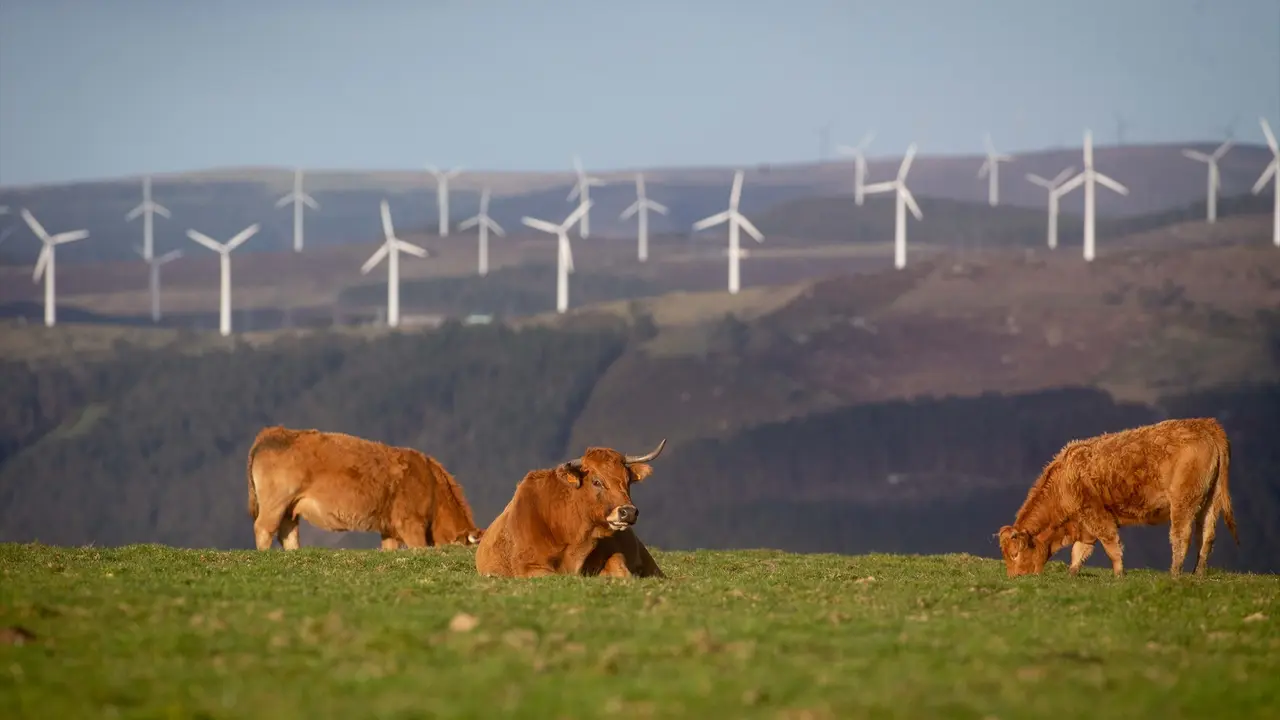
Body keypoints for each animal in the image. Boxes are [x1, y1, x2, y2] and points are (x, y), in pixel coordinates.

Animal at [246, 426, 483, 551]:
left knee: (288, 533)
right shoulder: (410, 524)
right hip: (275, 503)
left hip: (289, 508)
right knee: (264, 528)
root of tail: (273, 432)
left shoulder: (389, 530)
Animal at [997, 417, 1238, 578]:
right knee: (1206, 535)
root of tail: (1205, 424)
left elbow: (1111, 546)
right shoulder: (1085, 526)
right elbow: (1079, 552)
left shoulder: (1096, 515)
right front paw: (1072, 573)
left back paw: (1175, 573)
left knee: (1181, 535)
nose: (1014, 578)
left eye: (1015, 554)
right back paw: (1198, 574)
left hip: (1183, 501)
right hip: (1210, 501)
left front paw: (1119, 575)